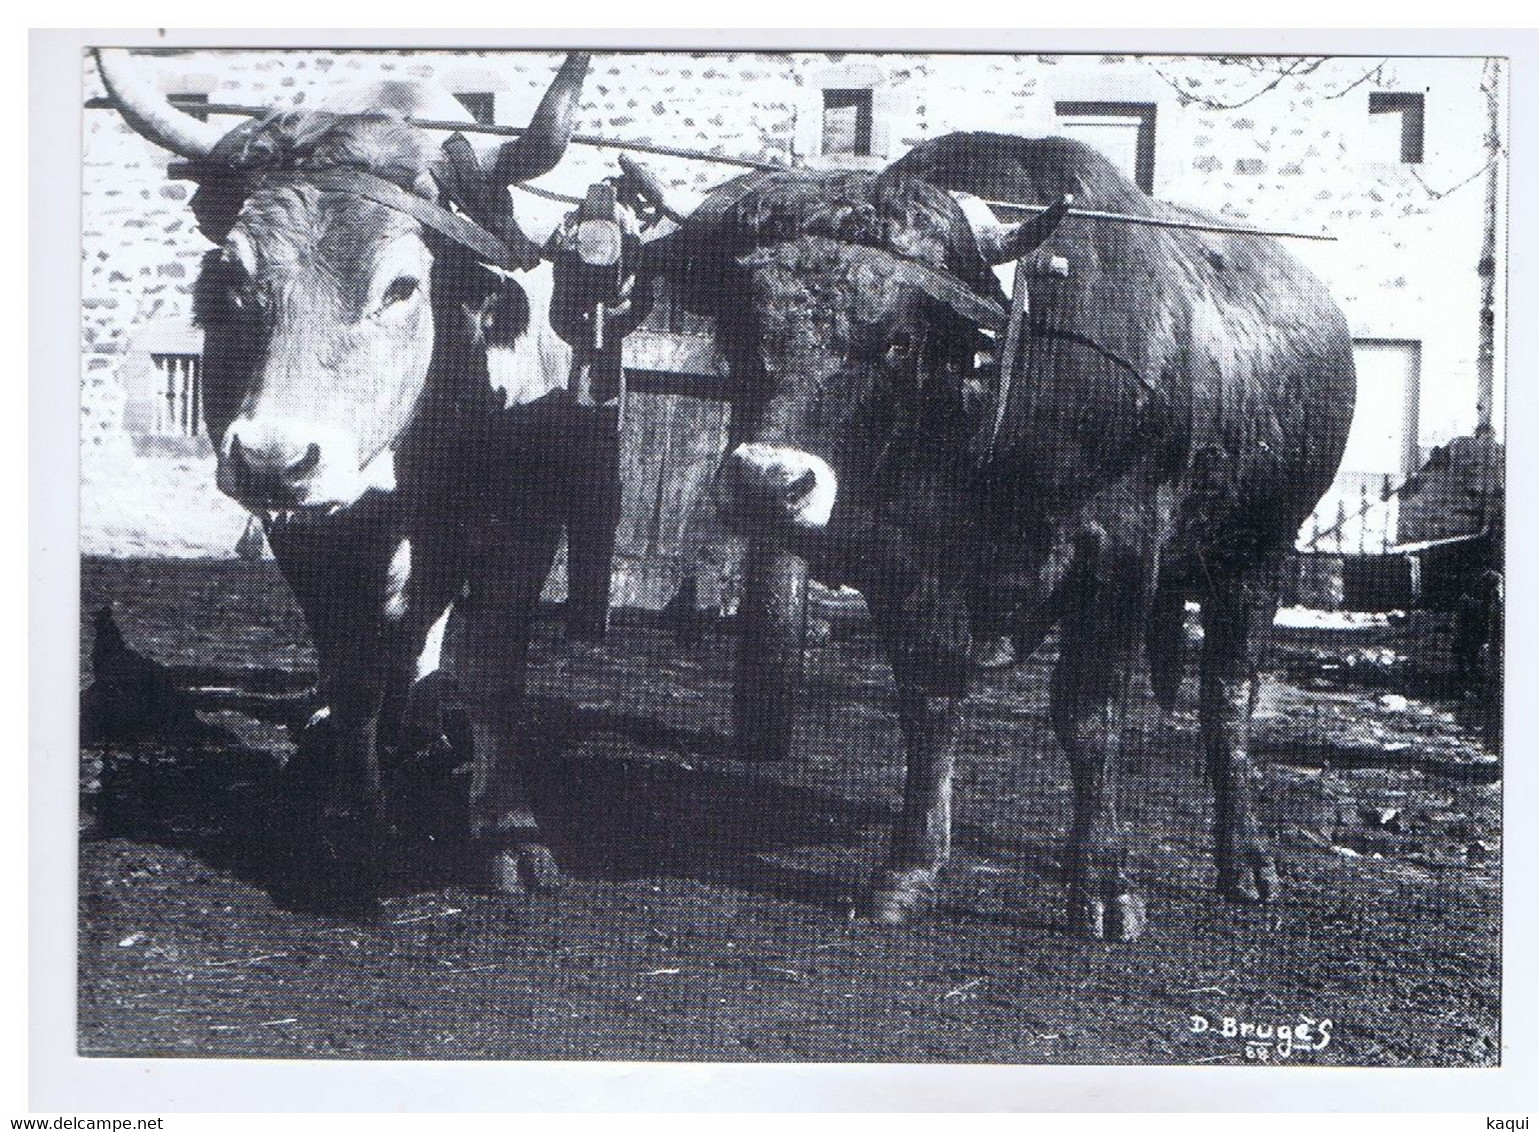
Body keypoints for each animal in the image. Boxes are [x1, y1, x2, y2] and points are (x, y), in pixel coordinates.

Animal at [91, 50, 612, 904]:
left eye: (401, 286)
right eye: (236, 278)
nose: (270, 459)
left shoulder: (525, 516)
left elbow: (494, 670)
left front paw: (508, 830)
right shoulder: (307, 527)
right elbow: (351, 659)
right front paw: (349, 812)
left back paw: (426, 719)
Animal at [643, 132, 1354, 941]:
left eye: (896, 342)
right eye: (741, 323)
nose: (768, 484)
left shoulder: (1118, 555)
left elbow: (1091, 715)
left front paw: (1102, 885)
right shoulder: (906, 561)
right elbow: (931, 704)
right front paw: (909, 870)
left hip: (1257, 555)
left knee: (1227, 702)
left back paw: (1247, 861)